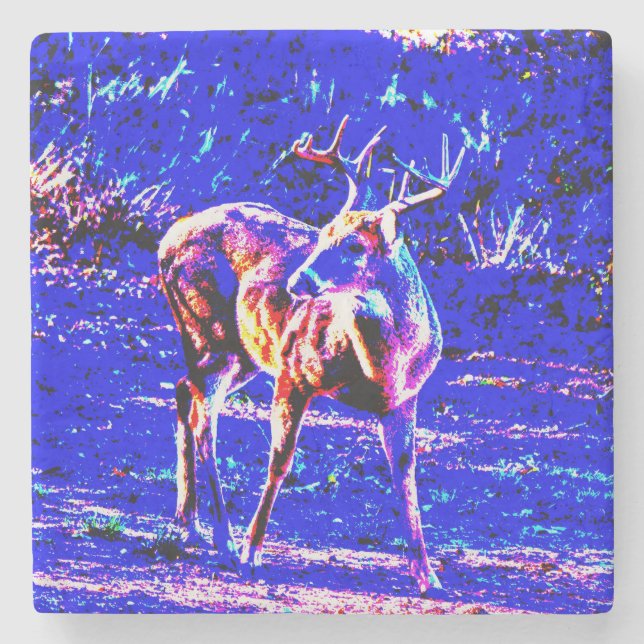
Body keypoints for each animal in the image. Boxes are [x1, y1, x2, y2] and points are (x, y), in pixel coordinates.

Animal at [157, 115, 464, 595]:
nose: (296, 282)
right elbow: (280, 462)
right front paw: (252, 556)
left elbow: (406, 477)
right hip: (209, 330)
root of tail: (164, 241)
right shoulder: (294, 370)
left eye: (355, 245)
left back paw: (188, 522)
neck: (384, 368)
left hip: (240, 351)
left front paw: (428, 577)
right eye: (323, 233)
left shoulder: (406, 398)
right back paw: (224, 542)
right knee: (206, 421)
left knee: (182, 389)